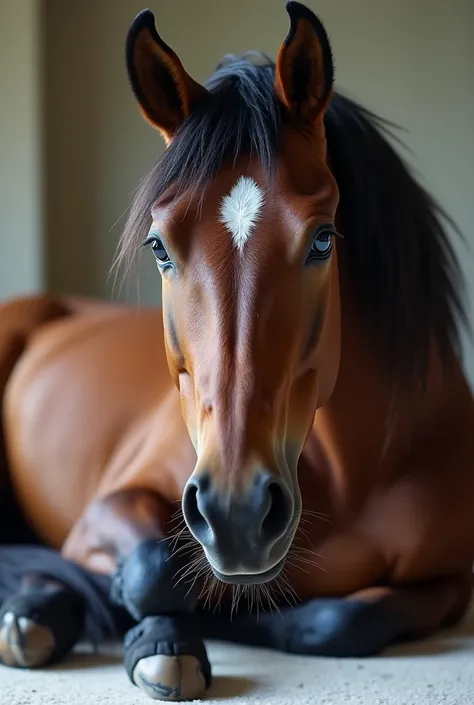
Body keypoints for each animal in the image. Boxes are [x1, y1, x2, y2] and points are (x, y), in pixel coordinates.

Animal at [0, 2, 474, 700]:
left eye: (324, 239)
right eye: (159, 246)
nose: (236, 511)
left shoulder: (450, 581)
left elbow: (340, 620)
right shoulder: (108, 507)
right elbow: (154, 569)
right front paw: (160, 640)